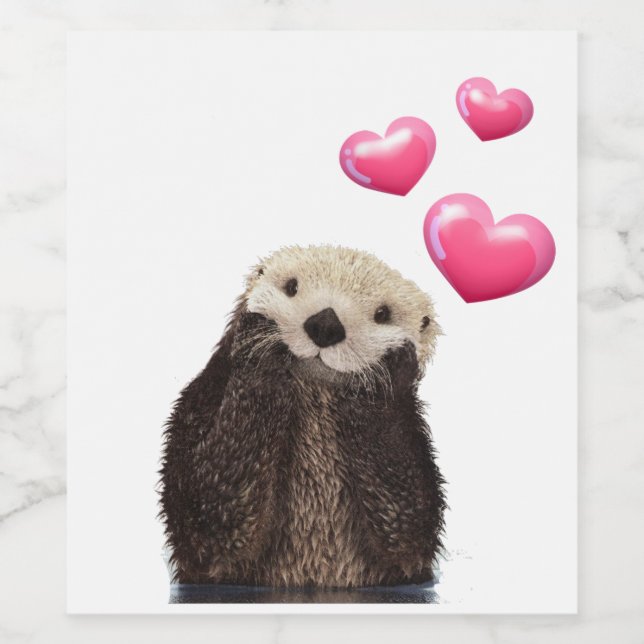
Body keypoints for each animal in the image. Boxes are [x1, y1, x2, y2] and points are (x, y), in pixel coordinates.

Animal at [159, 245, 446, 588]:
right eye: (291, 287)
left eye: (383, 314)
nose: (326, 324)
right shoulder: (200, 404)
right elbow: (209, 513)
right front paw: (259, 341)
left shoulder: (414, 449)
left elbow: (407, 525)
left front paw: (386, 371)